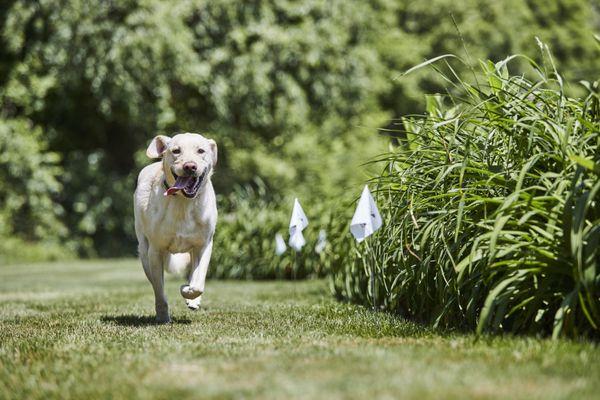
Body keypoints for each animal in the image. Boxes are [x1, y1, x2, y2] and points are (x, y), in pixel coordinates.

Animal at [134, 133, 218, 324]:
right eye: (176, 151)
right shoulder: (155, 251)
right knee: (154, 281)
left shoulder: (204, 245)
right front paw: (163, 316)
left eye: (201, 150)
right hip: (144, 251)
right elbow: (159, 291)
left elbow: (198, 281)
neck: (183, 202)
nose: (190, 166)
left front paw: (189, 292)